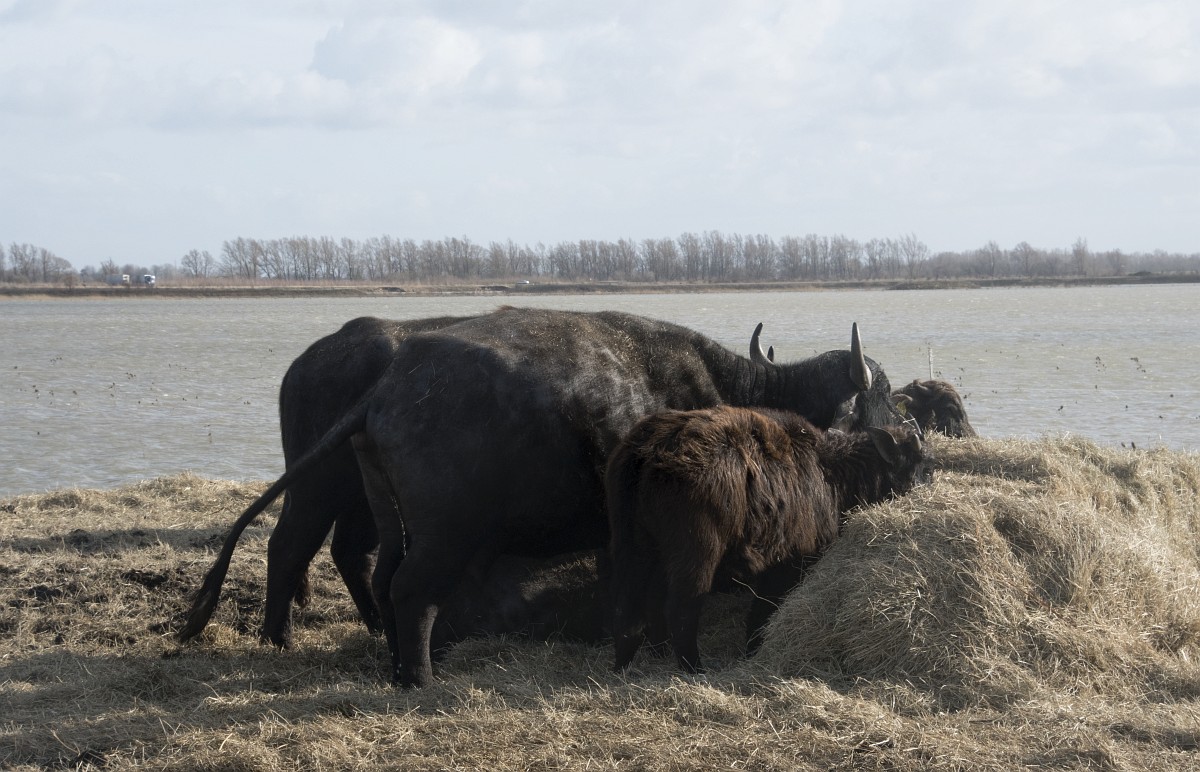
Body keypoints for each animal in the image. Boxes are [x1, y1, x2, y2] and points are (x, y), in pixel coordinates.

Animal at [178, 314, 474, 648]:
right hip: (320, 484)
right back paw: (279, 639)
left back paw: (378, 626)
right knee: (289, 544)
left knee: (349, 551)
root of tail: (303, 363)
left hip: (358, 493)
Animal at [606, 407, 932, 674]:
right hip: (696, 555)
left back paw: (629, 664)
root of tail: (649, 450)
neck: (830, 472)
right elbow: (764, 609)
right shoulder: (787, 564)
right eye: (917, 467)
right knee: (680, 610)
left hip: (633, 547)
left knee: (630, 607)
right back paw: (693, 668)